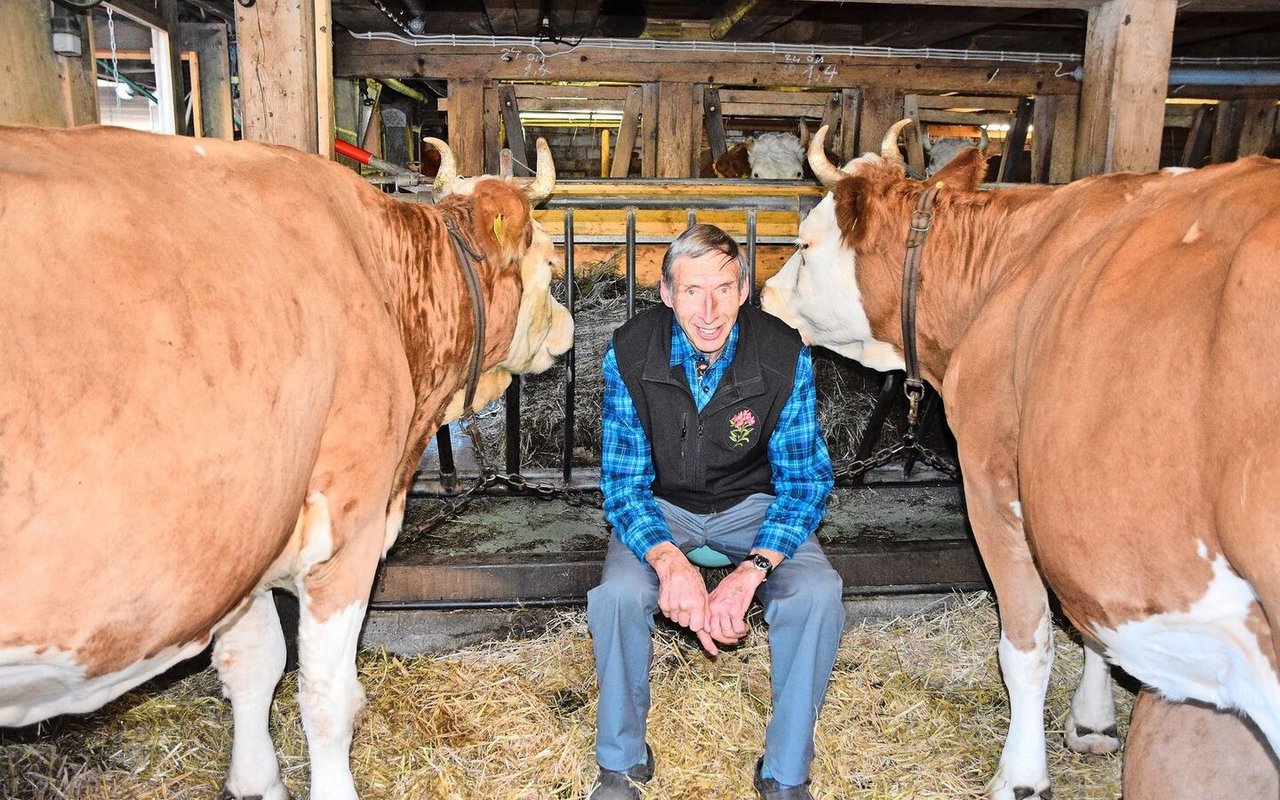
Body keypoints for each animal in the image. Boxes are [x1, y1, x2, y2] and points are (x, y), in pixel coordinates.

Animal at [0, 124, 570, 798]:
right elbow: (326, 697)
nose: (566, 329)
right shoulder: (344, 534)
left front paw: (256, 780)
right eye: (552, 263)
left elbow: (254, 663)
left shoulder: (241, 548)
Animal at [757, 121, 1280, 793]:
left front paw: (1022, 776)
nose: (764, 294)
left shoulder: (993, 480)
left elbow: (1028, 642)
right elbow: (1087, 623)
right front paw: (1093, 721)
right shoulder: (1077, 517)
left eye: (804, 243)